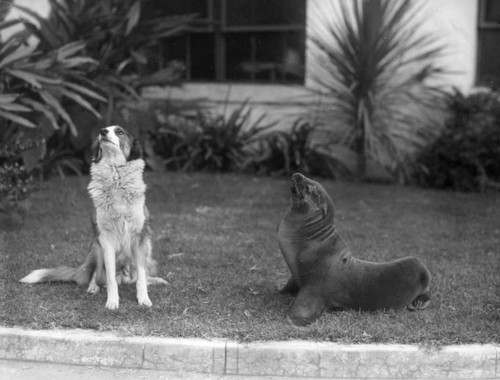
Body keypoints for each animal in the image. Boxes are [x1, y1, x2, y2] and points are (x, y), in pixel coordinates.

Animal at [20, 124, 168, 308]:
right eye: (104, 130)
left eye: (120, 132)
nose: (102, 131)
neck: (115, 175)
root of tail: (124, 276)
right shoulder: (105, 240)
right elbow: (110, 279)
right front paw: (112, 301)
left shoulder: (140, 239)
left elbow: (141, 277)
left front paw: (143, 298)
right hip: (96, 248)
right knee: (95, 275)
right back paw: (93, 287)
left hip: (147, 246)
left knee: (137, 277)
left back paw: (153, 280)